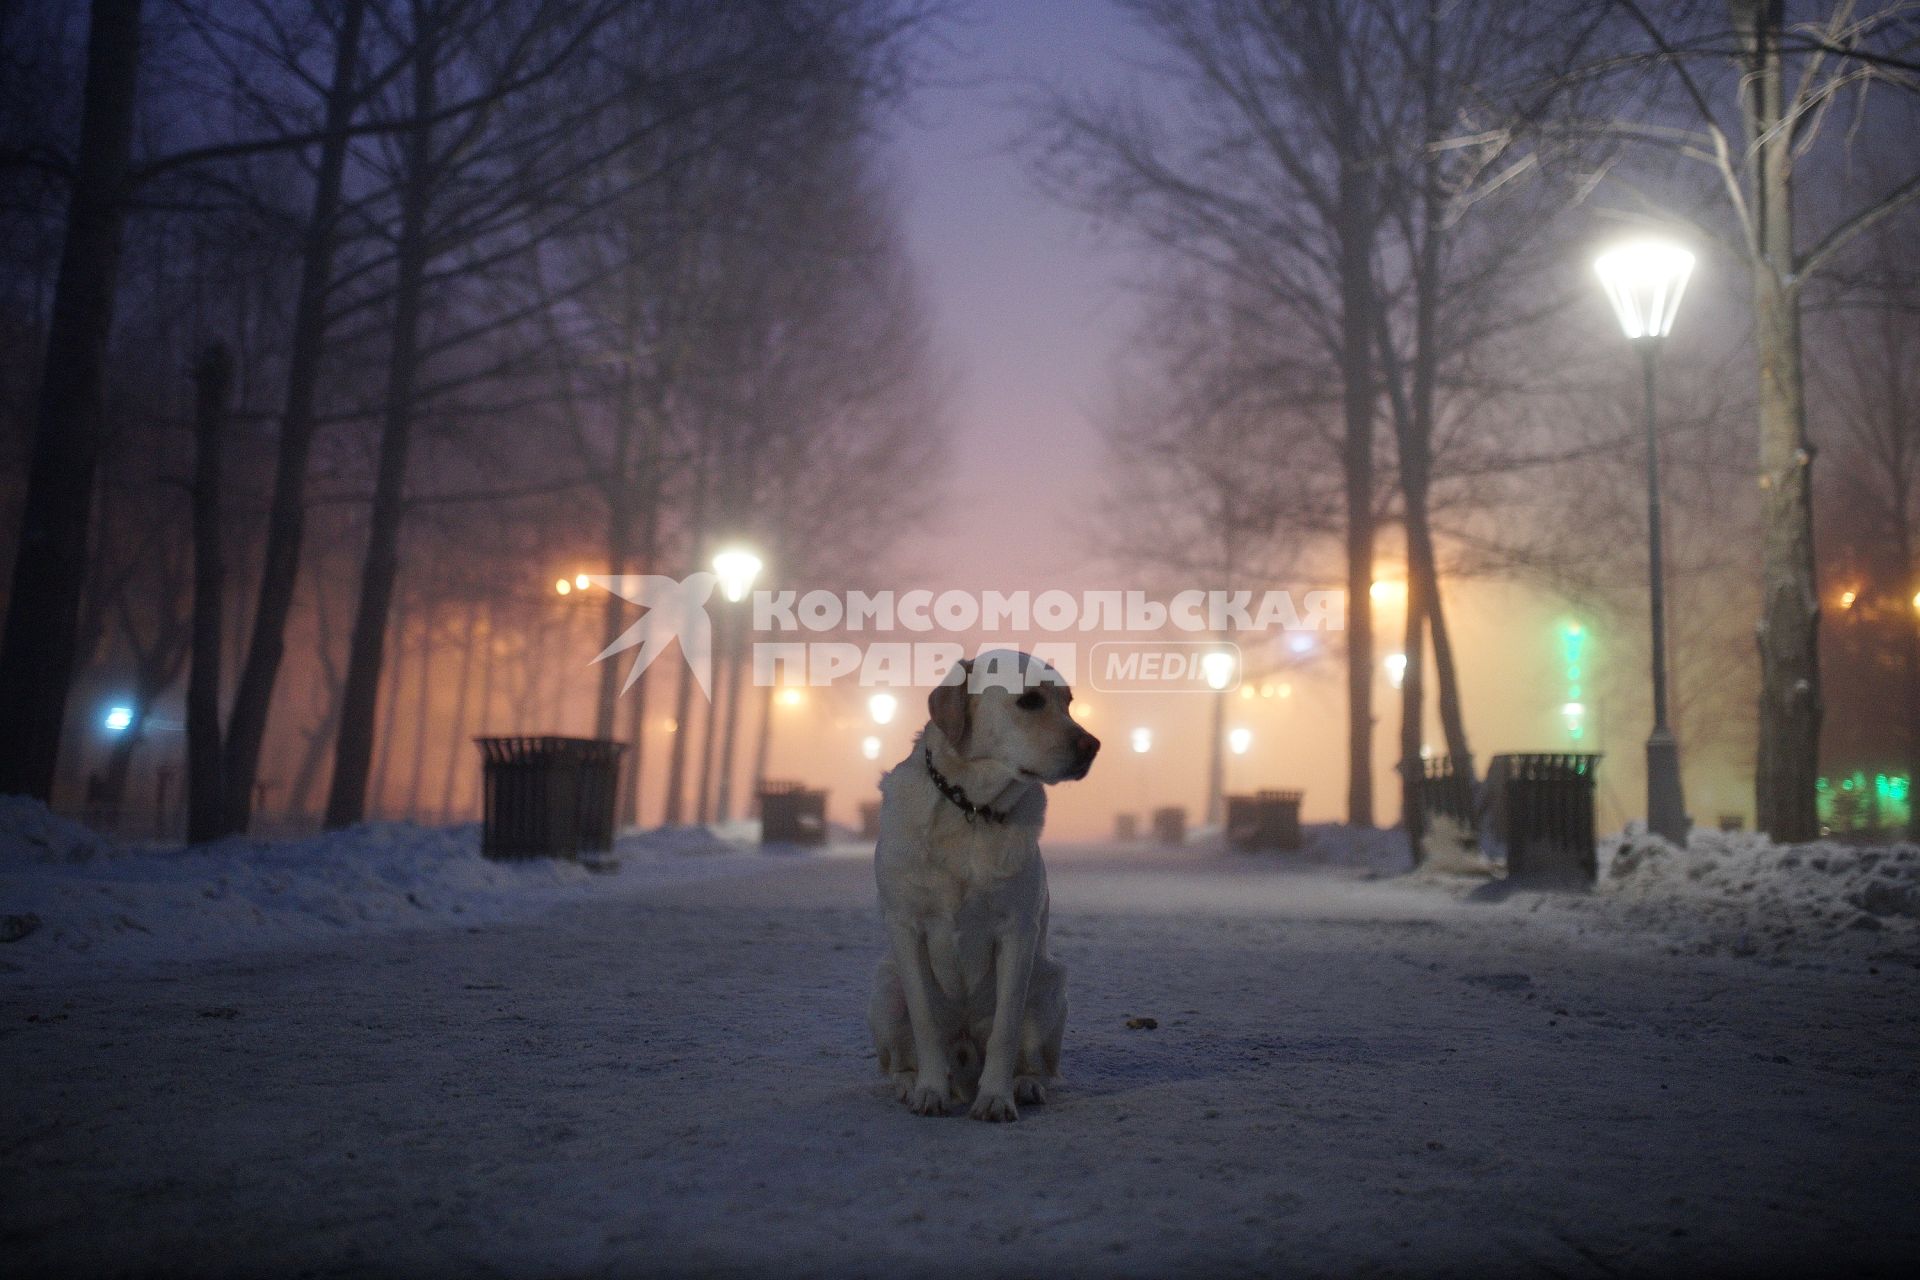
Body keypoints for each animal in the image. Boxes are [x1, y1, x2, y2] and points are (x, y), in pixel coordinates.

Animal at [867, 652, 1098, 1120]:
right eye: (1030, 701)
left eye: (1068, 703)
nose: (1093, 746)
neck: (972, 809)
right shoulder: (906, 926)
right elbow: (924, 1022)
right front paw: (929, 1090)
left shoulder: (1017, 930)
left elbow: (1005, 1030)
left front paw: (995, 1097)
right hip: (885, 986)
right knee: (899, 1058)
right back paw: (910, 1083)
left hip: (1050, 984)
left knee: (1036, 1062)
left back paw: (1024, 1085)